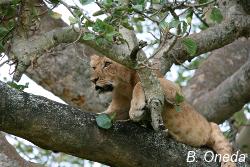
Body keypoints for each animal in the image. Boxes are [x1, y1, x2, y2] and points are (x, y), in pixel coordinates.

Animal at [90, 55, 236, 167]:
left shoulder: (173, 89)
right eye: (93, 67)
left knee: (225, 150)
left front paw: (136, 108)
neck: (124, 86)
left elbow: (139, 84)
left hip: (214, 129)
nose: (93, 80)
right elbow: (106, 115)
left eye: (107, 64)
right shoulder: (119, 108)